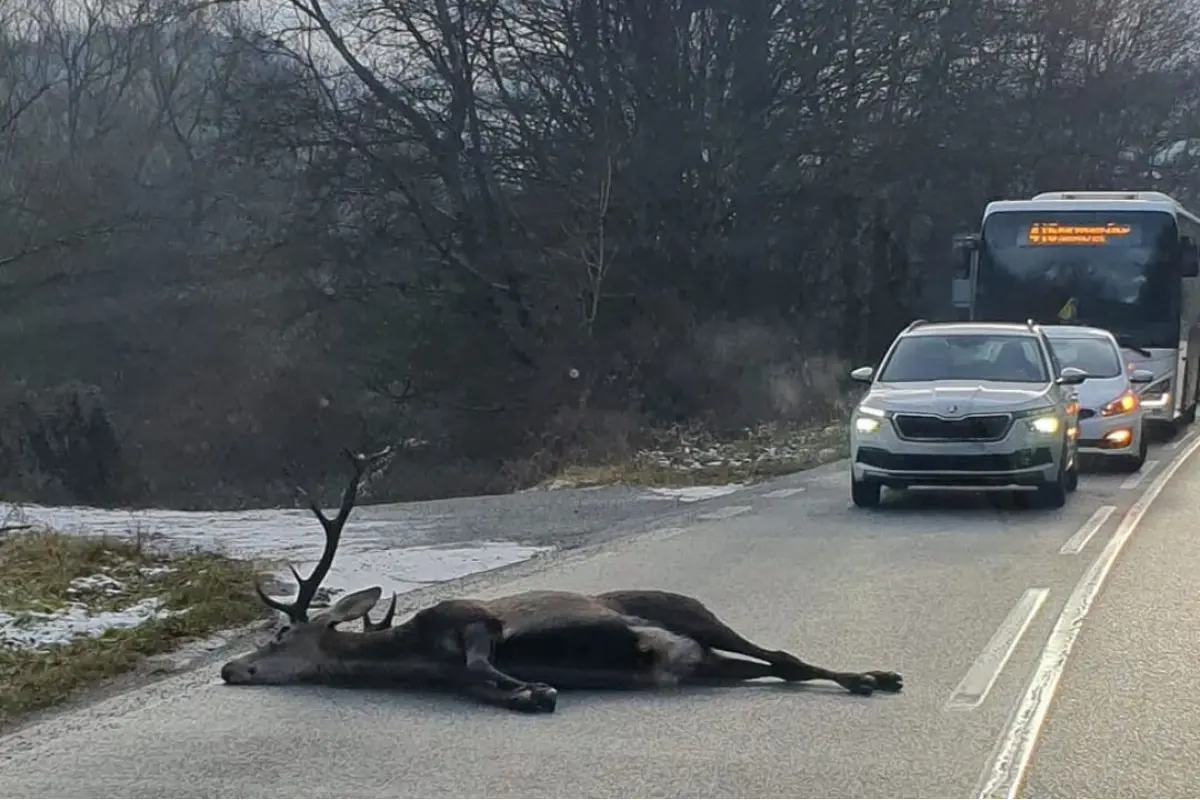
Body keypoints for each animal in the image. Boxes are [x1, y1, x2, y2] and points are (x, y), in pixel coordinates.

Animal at [220, 450, 902, 714]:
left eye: (278, 638)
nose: (229, 669)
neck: (409, 653)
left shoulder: (472, 616)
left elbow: (480, 662)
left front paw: (534, 686)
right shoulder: (452, 674)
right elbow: (480, 685)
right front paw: (530, 690)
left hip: (690, 611)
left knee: (781, 653)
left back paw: (876, 676)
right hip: (707, 664)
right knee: (775, 669)